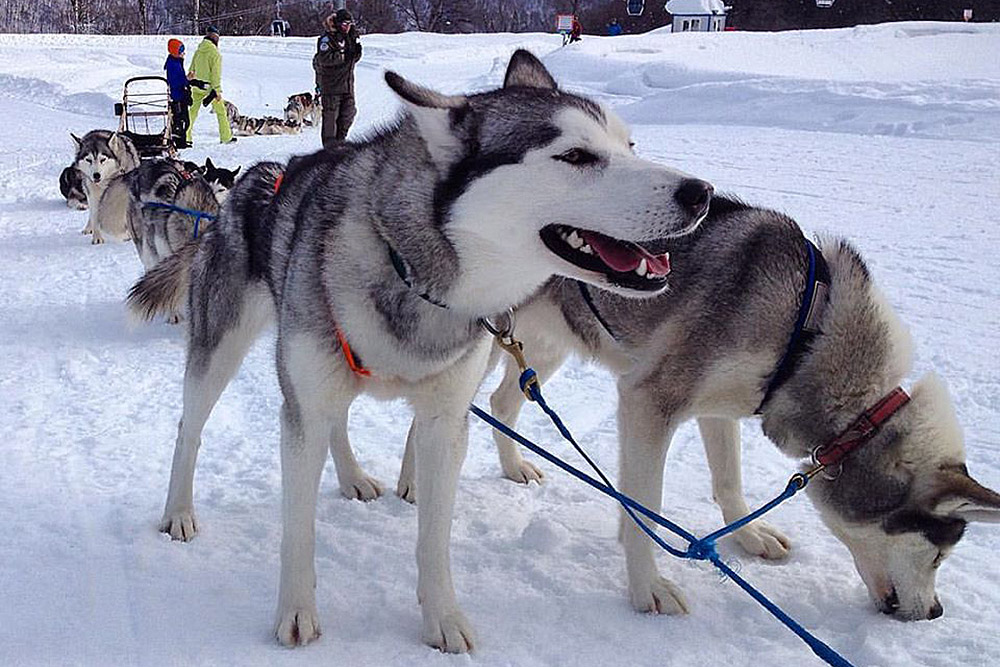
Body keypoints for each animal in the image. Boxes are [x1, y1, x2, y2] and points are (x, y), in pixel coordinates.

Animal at [129, 51, 716, 652]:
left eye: (630, 145)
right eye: (575, 155)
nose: (701, 193)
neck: (408, 268)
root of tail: (254, 177)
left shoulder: (443, 422)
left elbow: (434, 536)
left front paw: (443, 617)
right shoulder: (303, 414)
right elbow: (298, 529)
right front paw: (295, 612)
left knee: (339, 421)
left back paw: (352, 476)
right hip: (221, 351)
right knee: (191, 428)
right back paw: (179, 512)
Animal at [472, 196, 996, 624]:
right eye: (938, 555)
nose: (935, 611)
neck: (806, 331)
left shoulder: (721, 407)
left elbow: (728, 480)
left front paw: (748, 536)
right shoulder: (648, 401)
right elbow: (647, 507)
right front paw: (647, 587)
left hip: (544, 348)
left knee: (500, 402)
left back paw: (513, 467)